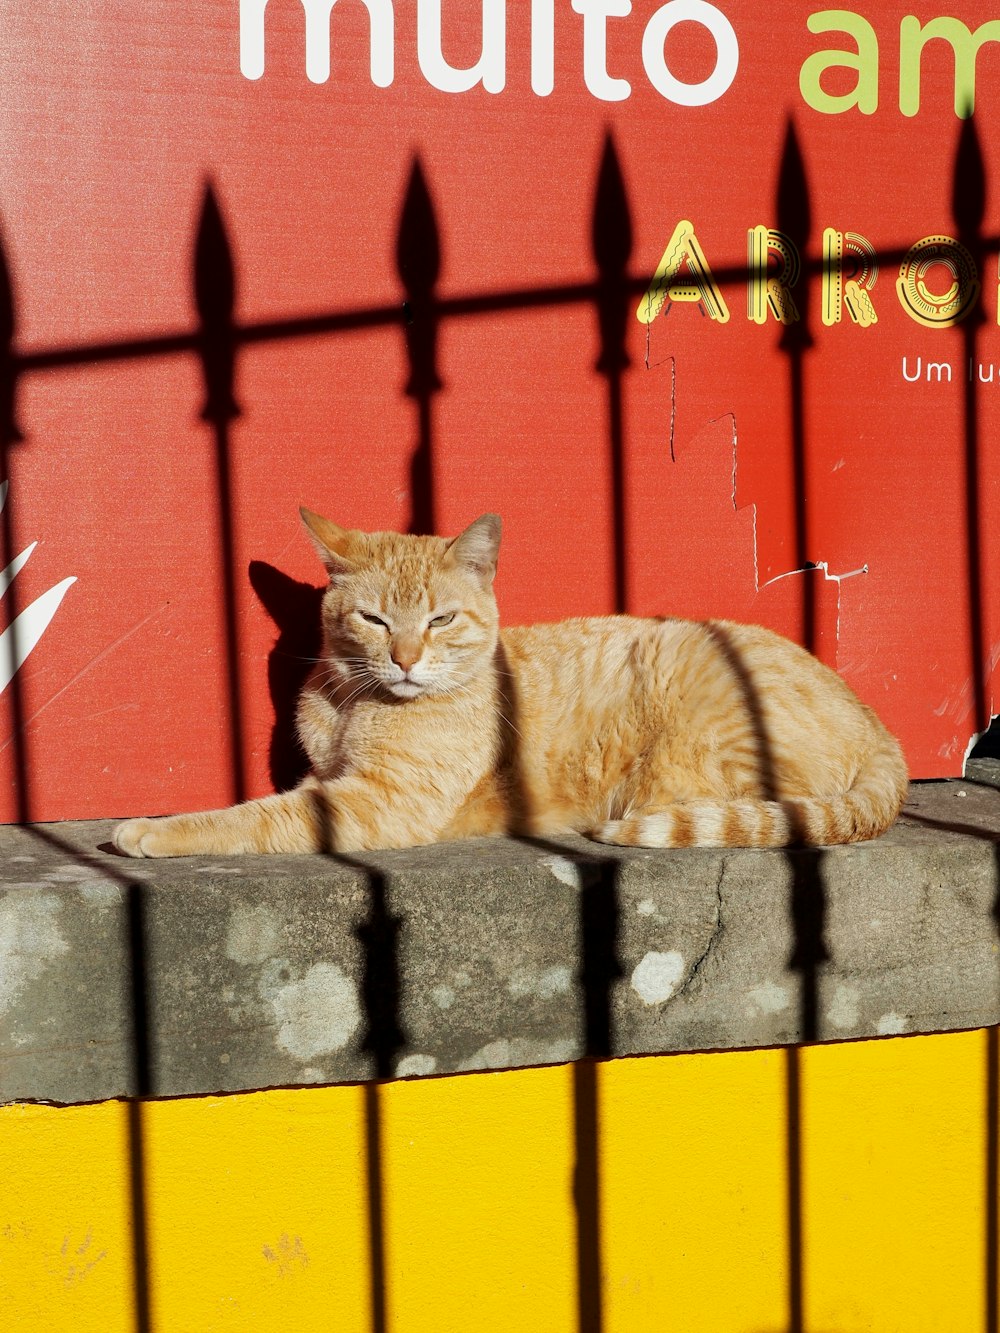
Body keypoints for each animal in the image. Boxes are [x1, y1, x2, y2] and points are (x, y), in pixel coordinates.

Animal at [113, 503, 912, 858]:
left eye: (440, 619)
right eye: (374, 619)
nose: (406, 658)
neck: (352, 705)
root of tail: (879, 724)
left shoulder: (376, 801)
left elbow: (249, 818)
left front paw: (151, 830)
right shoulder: (330, 779)